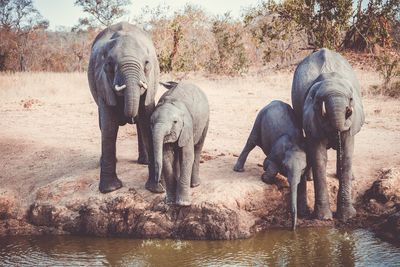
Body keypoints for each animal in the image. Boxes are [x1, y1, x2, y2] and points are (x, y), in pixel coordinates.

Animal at [87, 22, 162, 194]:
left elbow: (147, 121)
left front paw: (156, 189)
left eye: (147, 64)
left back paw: (144, 162)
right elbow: (109, 127)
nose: (129, 116)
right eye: (109, 65)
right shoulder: (102, 83)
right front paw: (110, 189)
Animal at [234, 100, 310, 230]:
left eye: (303, 168)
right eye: (285, 167)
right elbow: (268, 163)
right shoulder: (276, 152)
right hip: (259, 118)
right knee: (251, 141)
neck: (294, 144)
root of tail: (274, 101)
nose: (293, 228)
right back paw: (238, 169)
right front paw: (269, 180)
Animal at [292, 48, 364, 222]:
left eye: (351, 99)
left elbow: (346, 156)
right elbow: (319, 157)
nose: (348, 111)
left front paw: (347, 217)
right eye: (319, 101)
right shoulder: (312, 116)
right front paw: (324, 218)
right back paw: (309, 177)